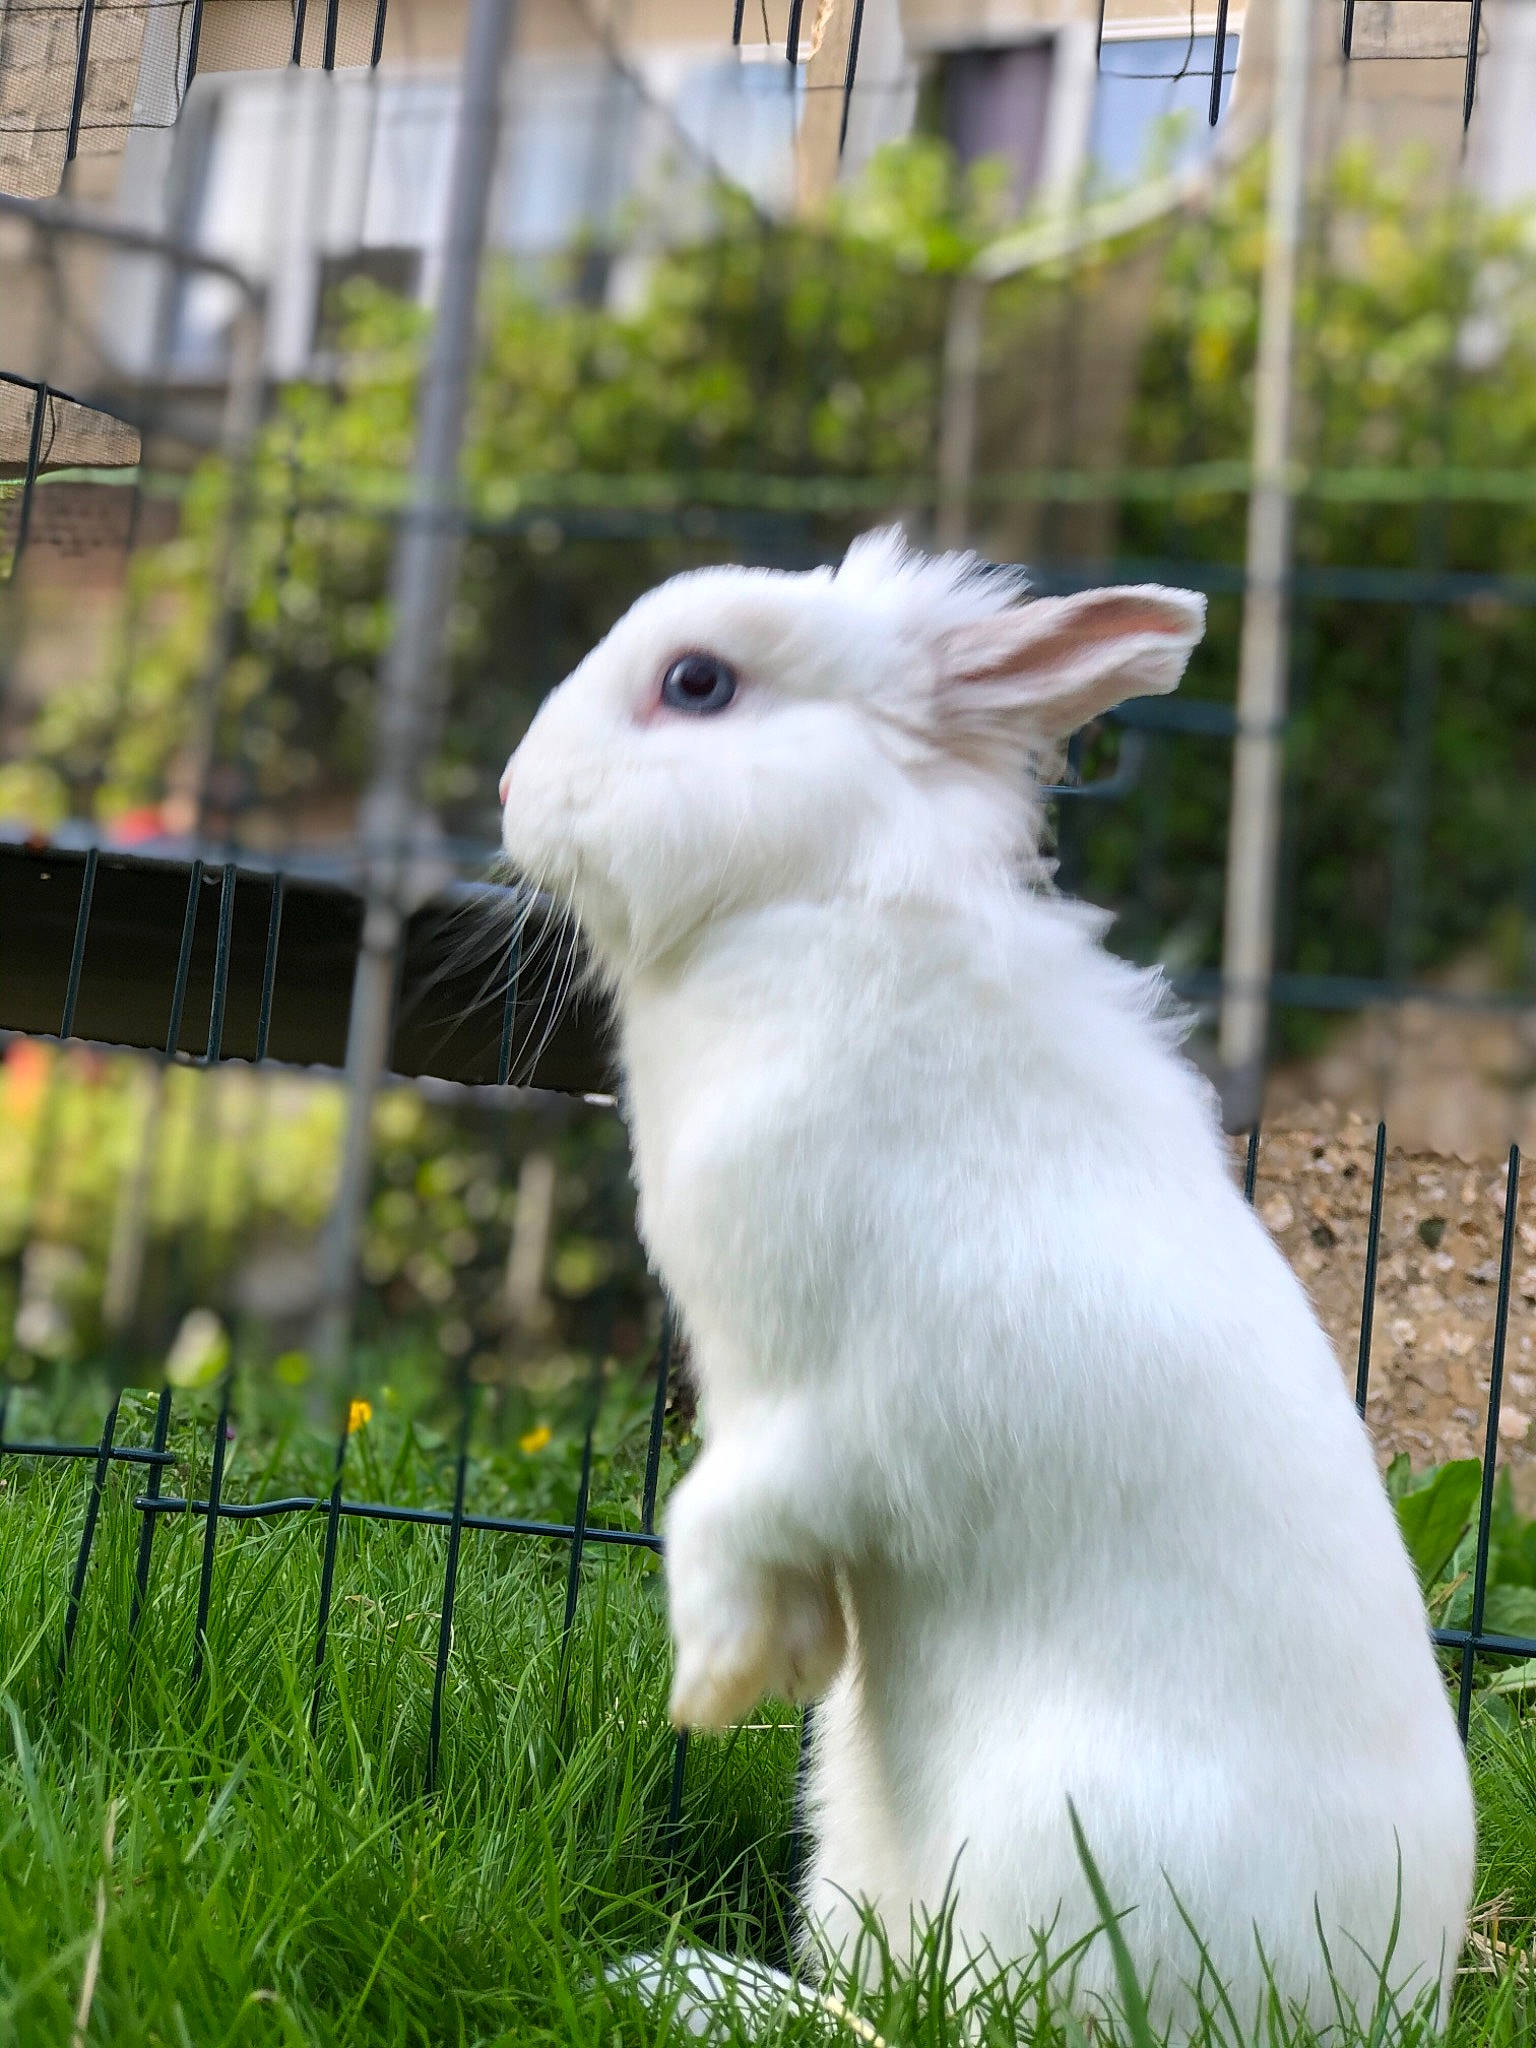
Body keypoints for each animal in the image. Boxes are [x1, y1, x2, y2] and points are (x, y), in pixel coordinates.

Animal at [498, 528, 1474, 2035]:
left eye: (698, 681)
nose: (509, 796)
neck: (814, 908)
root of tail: (1385, 2005)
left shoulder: (845, 1411)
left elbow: (712, 1511)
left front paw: (712, 1683)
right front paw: (791, 1661)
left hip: (1060, 1854)